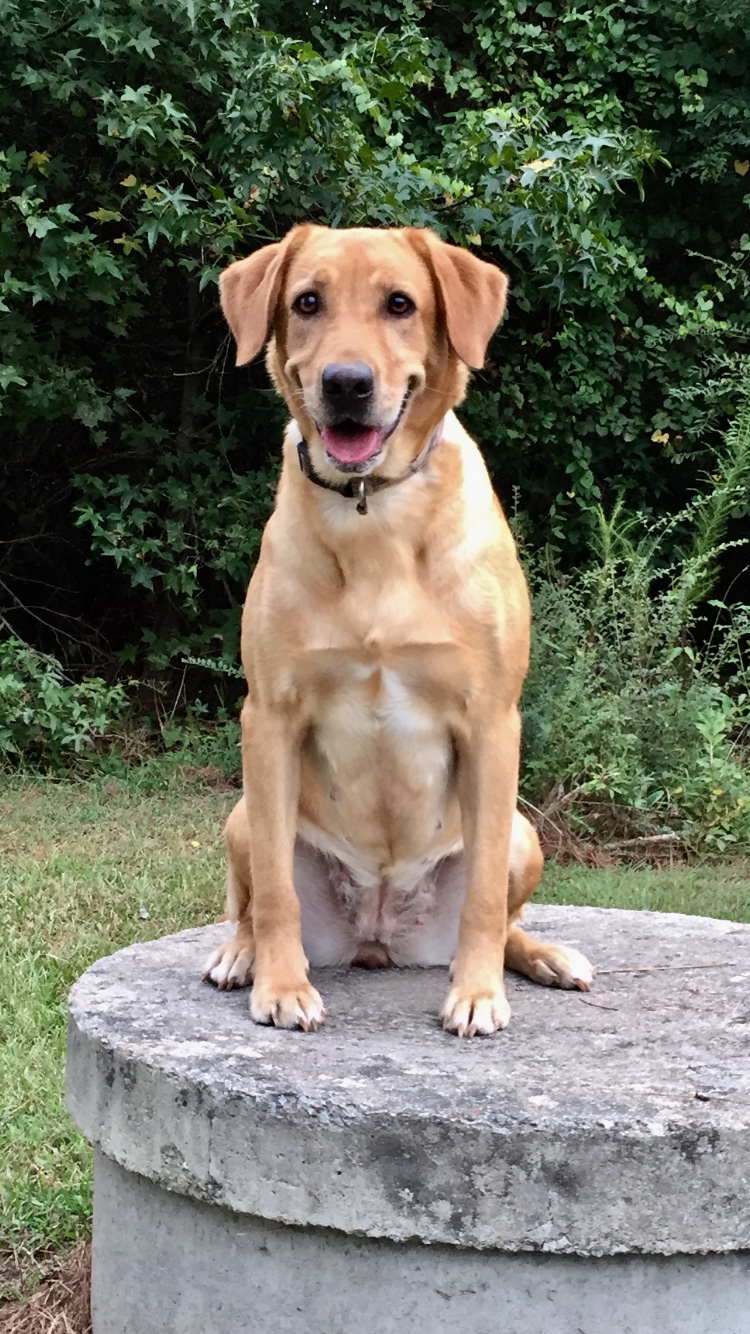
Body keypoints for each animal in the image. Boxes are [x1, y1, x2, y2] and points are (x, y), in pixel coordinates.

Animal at [202, 224, 589, 1035]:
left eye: (401, 304)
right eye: (306, 302)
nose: (346, 383)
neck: (371, 512)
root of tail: (379, 934)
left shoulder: (492, 719)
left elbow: (483, 902)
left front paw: (476, 993)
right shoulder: (269, 716)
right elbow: (276, 892)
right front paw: (281, 984)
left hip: (520, 830)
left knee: (507, 917)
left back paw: (542, 957)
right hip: (245, 813)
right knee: (254, 899)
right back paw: (242, 954)